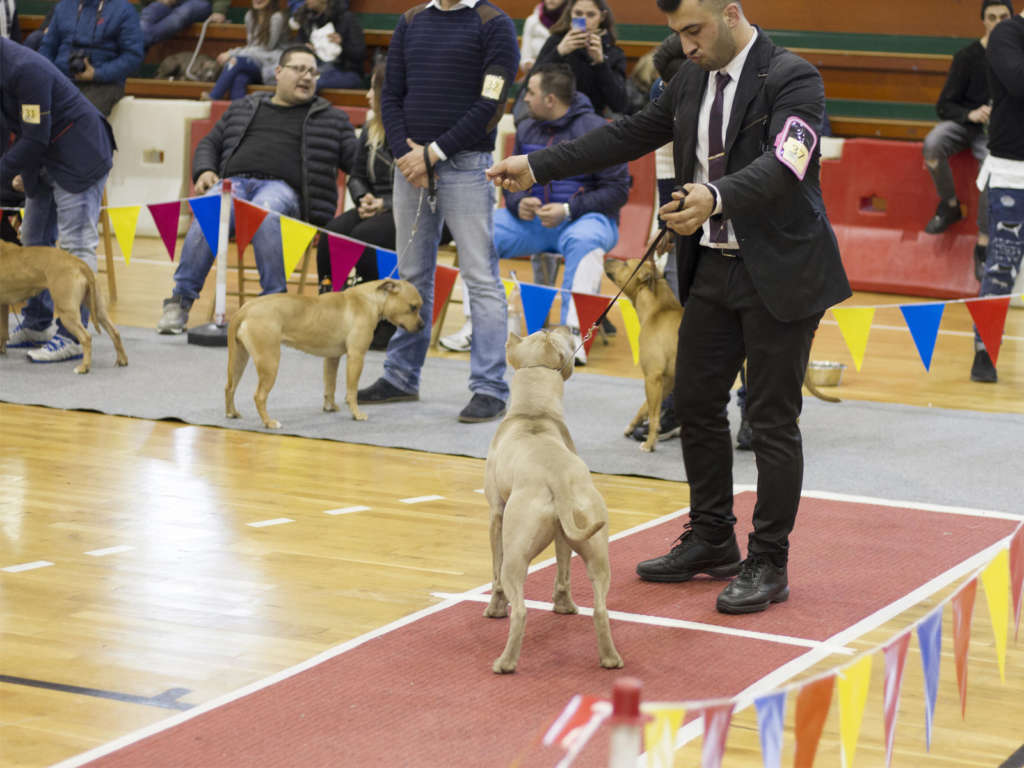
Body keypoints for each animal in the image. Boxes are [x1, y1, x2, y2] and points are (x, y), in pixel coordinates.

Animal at [0, 240, 129, 372]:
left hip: (67, 312)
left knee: (86, 338)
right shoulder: (3, 305)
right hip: (98, 310)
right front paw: (2, 351)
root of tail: (79, 263)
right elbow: (3, 333)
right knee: (114, 333)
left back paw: (84, 367)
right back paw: (122, 360)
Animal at [227, 280, 423, 430]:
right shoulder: (356, 357)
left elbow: (330, 386)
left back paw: (232, 413)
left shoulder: (332, 358)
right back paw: (269, 422)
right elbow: (351, 392)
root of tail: (245, 308)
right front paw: (357, 414)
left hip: (239, 359)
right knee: (259, 396)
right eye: (413, 307)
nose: (422, 326)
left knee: (230, 387)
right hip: (270, 362)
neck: (371, 299)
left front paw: (330, 407)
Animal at [481, 327, 618, 675]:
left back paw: (505, 662)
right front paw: (564, 606)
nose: (568, 327)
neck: (533, 412)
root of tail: (556, 477)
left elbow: (494, 570)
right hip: (596, 548)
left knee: (519, 609)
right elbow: (563, 570)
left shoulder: (496, 515)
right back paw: (610, 658)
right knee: (600, 607)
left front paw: (494, 608)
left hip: (516, 552)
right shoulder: (562, 534)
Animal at [602, 257, 684, 450]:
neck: (657, 311)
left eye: (625, 263)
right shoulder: (666, 380)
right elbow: (645, 407)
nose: (607, 257)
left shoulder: (652, 377)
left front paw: (649, 444)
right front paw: (632, 427)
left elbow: (653, 415)